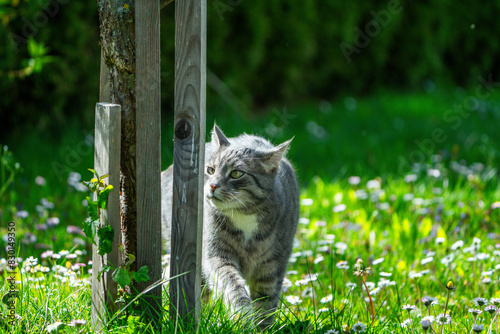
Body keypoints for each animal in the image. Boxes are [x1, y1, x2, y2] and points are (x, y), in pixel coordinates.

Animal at [162, 124, 298, 326]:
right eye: (210, 170)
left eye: (236, 173)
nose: (212, 185)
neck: (244, 215)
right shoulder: (216, 255)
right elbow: (231, 283)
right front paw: (243, 315)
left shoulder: (274, 263)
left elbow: (266, 299)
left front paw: (262, 327)